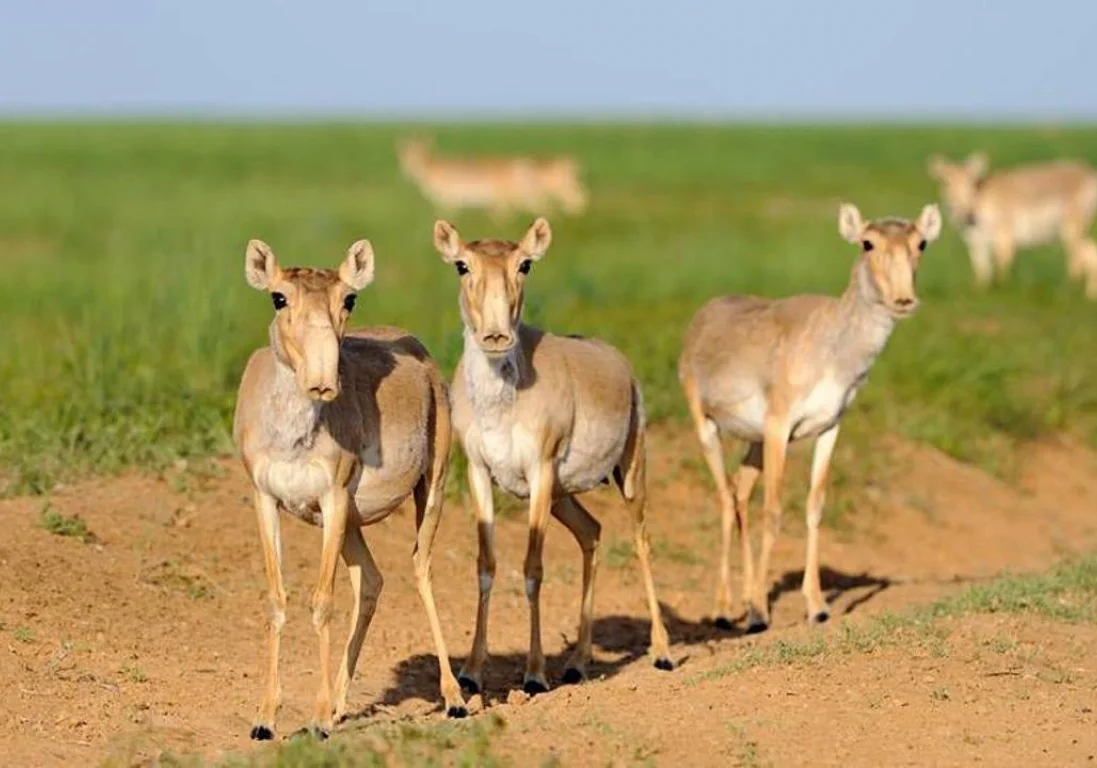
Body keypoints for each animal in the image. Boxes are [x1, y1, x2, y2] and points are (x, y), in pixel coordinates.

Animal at [233, 238, 465, 737]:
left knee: (421, 569)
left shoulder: (333, 498)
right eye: (278, 297)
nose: (323, 381)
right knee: (372, 579)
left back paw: (455, 698)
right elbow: (277, 599)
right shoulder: (266, 500)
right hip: (352, 525)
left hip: (430, 488)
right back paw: (342, 702)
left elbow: (323, 602)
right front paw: (265, 719)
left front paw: (319, 720)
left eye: (349, 299)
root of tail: (418, 350)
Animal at [432, 217, 671, 697]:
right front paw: (470, 673)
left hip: (629, 473)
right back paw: (577, 663)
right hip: (564, 497)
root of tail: (619, 363)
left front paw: (535, 674)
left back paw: (662, 652)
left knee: (641, 539)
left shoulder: (539, 472)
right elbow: (486, 565)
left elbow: (532, 568)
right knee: (592, 532)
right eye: (462, 265)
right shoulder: (480, 473)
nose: (496, 336)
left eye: (525, 263)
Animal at [675, 200, 943, 631]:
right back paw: (724, 610)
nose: (903, 300)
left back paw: (744, 596)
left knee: (740, 493)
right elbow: (774, 510)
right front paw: (759, 612)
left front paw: (816, 606)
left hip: (753, 443)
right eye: (867, 242)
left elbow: (814, 508)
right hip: (707, 426)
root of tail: (703, 315)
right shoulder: (779, 426)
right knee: (724, 497)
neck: (833, 347)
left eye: (922, 242)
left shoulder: (829, 427)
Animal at [925, 151, 1097, 298]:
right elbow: (982, 270)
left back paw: (1066, 291)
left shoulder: (1004, 238)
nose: (965, 214)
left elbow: (1002, 266)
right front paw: (980, 292)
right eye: (946, 184)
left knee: (1077, 257)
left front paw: (1002, 291)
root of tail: (1089, 174)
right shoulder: (977, 244)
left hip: (1071, 228)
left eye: (971, 184)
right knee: (1088, 252)